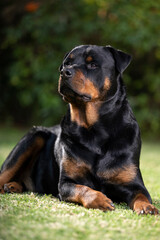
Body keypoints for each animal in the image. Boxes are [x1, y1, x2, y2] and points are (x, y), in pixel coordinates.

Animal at [0, 46, 159, 215]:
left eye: (93, 64)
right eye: (67, 63)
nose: (65, 72)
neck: (95, 131)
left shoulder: (134, 183)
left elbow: (142, 195)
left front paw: (147, 207)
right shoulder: (66, 183)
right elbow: (83, 188)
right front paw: (100, 199)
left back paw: (12, 186)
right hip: (33, 137)